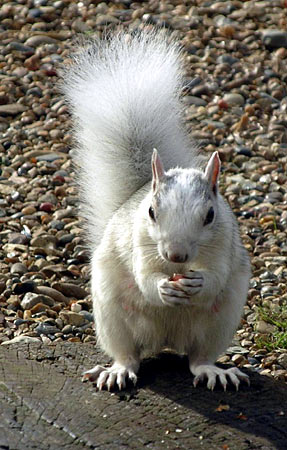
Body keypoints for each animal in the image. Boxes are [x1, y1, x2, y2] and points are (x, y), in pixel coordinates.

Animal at [62, 29, 251, 392]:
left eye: (209, 216)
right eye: (151, 212)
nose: (177, 256)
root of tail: (167, 340)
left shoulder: (224, 245)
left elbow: (216, 275)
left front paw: (199, 281)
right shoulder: (140, 242)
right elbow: (145, 277)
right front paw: (162, 286)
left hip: (220, 320)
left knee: (198, 358)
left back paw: (214, 371)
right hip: (112, 316)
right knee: (128, 355)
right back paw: (117, 371)